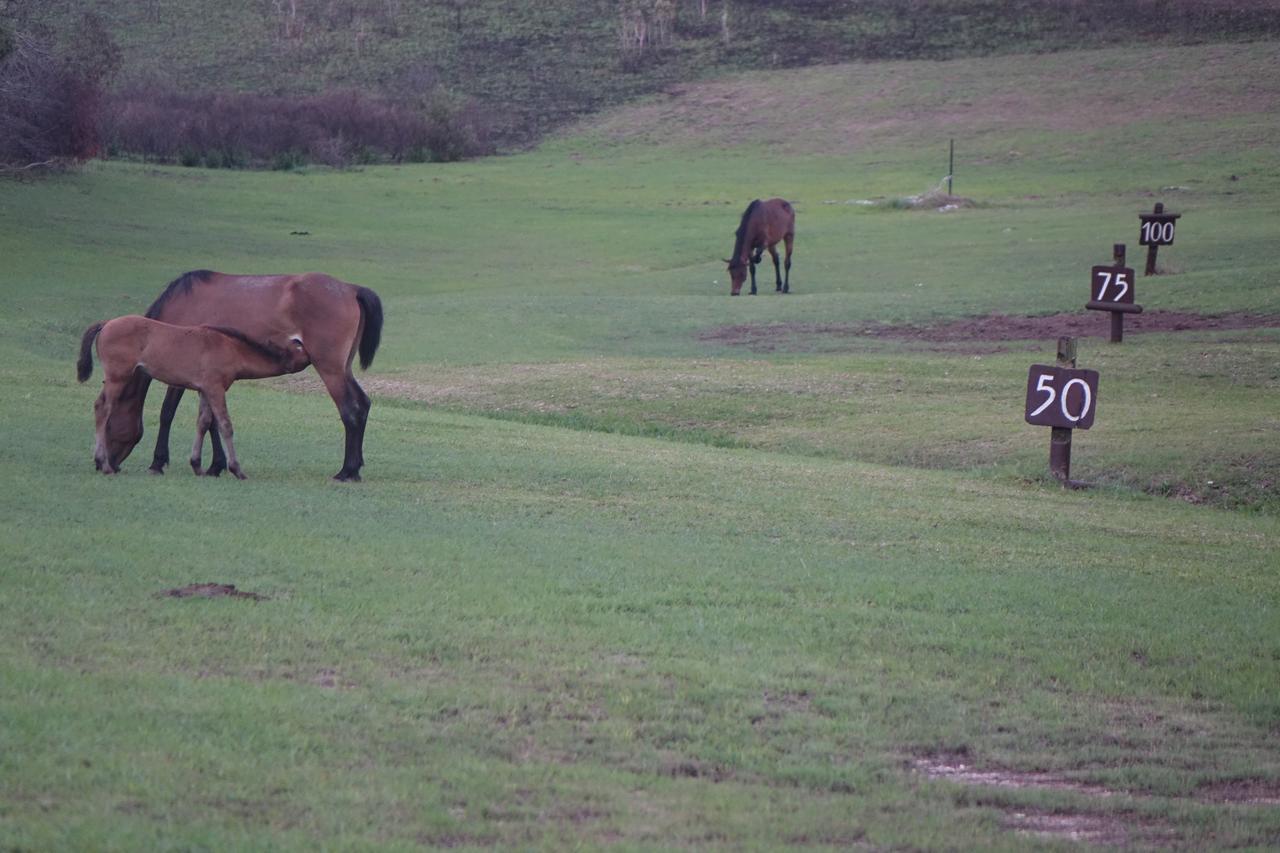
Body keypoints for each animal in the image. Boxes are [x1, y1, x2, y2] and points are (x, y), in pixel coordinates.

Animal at [78, 313, 312, 473]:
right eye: (301, 349)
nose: (313, 357)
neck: (230, 348)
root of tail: (107, 323)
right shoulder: (216, 389)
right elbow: (225, 425)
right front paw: (236, 469)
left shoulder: (204, 390)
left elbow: (203, 422)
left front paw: (197, 465)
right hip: (118, 377)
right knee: (103, 408)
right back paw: (103, 463)